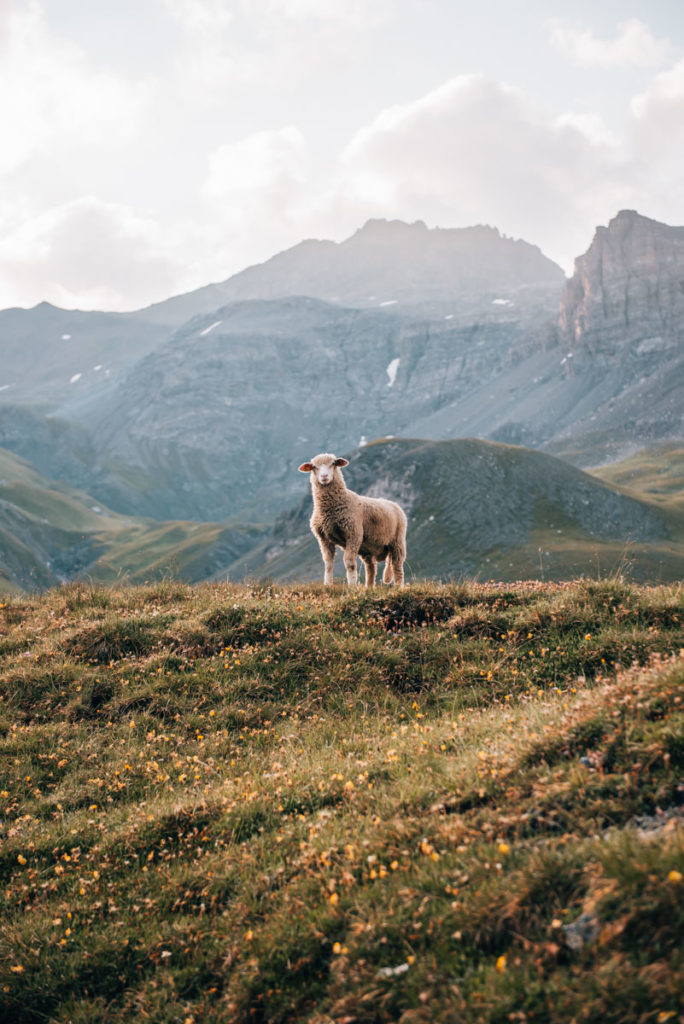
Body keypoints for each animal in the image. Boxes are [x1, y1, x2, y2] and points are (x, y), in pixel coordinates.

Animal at [296, 454, 405, 589]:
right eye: (314, 467)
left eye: (333, 463)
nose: (324, 476)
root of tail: (394, 504)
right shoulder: (324, 539)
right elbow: (328, 563)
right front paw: (328, 585)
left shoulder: (353, 534)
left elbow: (349, 563)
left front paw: (352, 587)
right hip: (367, 548)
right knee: (371, 568)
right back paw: (369, 588)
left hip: (397, 541)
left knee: (397, 565)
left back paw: (398, 587)